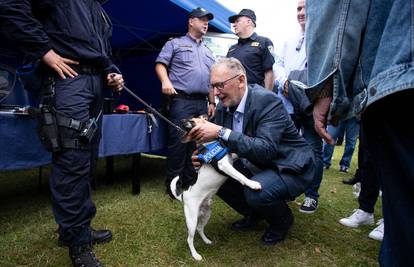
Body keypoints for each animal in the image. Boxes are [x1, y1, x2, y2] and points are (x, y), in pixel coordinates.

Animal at [170, 119, 260, 262]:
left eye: (192, 121)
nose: (182, 121)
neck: (209, 143)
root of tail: (184, 195)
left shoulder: (231, 158)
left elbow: (237, 154)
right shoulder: (224, 165)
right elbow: (240, 176)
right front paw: (253, 184)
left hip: (206, 213)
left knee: (200, 229)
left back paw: (207, 240)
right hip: (191, 219)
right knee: (189, 239)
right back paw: (195, 255)